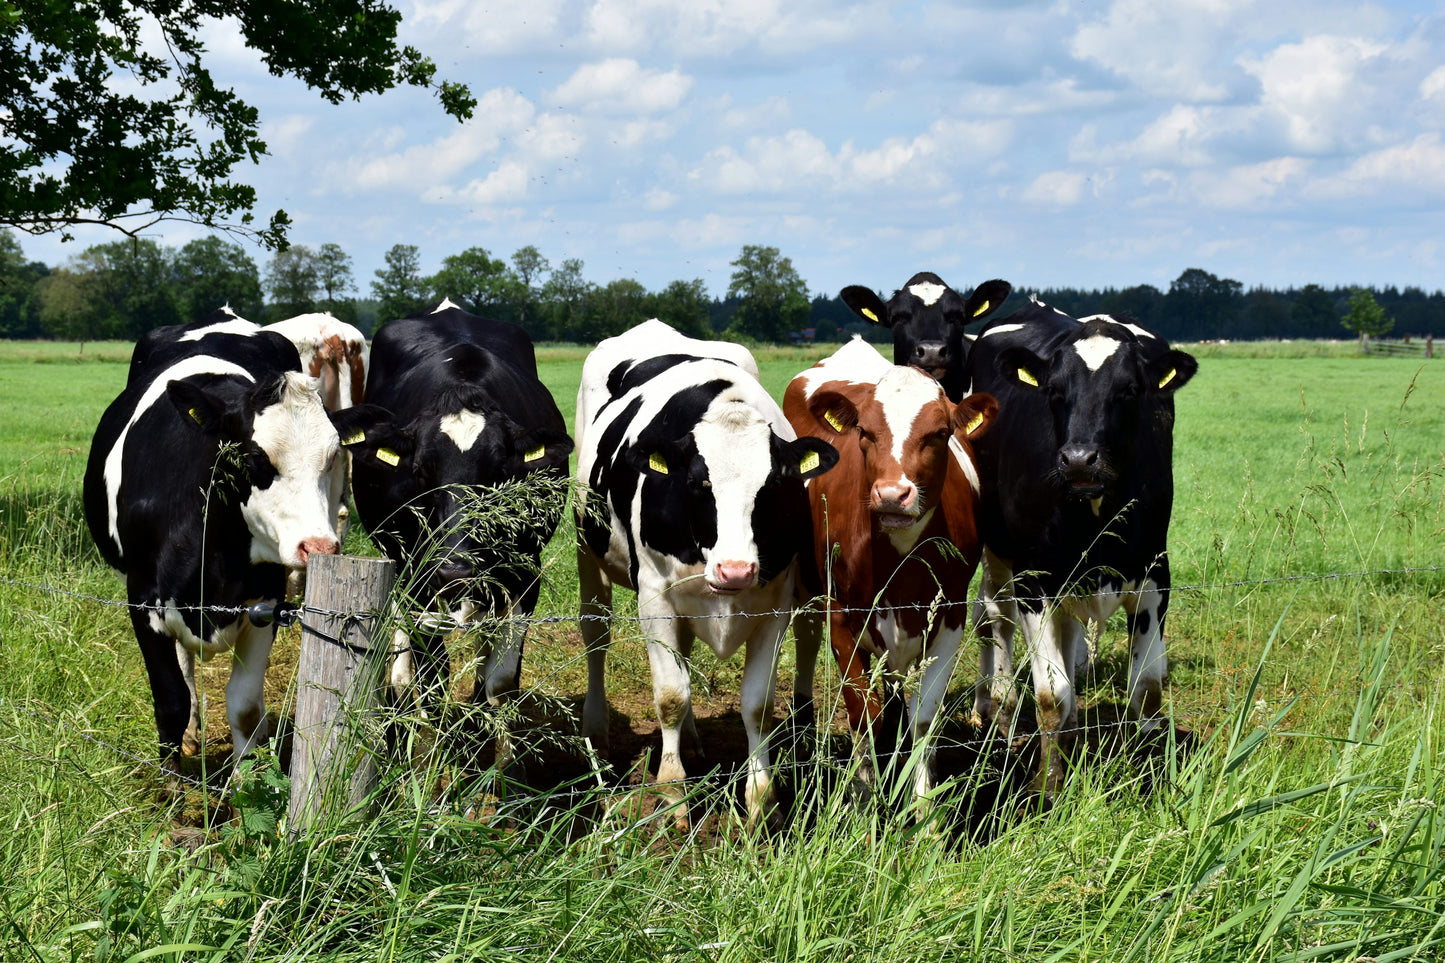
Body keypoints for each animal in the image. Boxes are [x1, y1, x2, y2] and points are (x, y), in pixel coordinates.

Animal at [83, 310, 347, 773]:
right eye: (257, 457)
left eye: (332, 457)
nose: (318, 547)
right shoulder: (142, 599)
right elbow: (171, 700)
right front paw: (171, 784)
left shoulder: (266, 601)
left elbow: (244, 706)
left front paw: (247, 780)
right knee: (184, 673)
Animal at [334, 298, 573, 778]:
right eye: (420, 471)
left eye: (499, 473)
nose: (456, 569)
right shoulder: (416, 577)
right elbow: (431, 676)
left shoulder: (526, 574)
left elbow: (499, 680)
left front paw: (493, 763)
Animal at [575, 319, 839, 827]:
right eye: (699, 483)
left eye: (773, 485)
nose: (735, 570)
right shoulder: (654, 596)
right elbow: (669, 695)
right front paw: (672, 792)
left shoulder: (775, 602)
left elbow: (757, 703)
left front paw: (760, 798)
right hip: (586, 546)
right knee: (595, 633)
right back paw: (596, 729)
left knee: (685, 652)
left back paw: (694, 740)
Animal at [784, 338, 997, 809]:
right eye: (864, 432)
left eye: (940, 433)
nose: (892, 495)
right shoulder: (842, 617)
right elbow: (862, 713)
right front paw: (864, 798)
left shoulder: (950, 614)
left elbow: (925, 714)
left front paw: (922, 802)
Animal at [963, 297, 1197, 796]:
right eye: (1054, 390)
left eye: (1129, 390)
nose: (1078, 460)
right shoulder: (1034, 581)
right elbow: (1052, 695)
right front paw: (1048, 786)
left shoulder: (1155, 575)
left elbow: (1147, 687)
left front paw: (1146, 773)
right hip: (998, 553)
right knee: (993, 615)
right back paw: (997, 708)